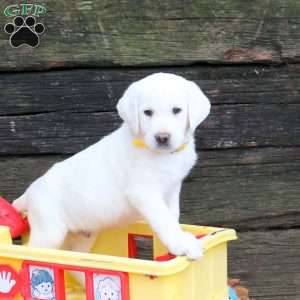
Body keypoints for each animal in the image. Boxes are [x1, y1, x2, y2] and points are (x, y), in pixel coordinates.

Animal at [12, 72, 211, 260]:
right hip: (49, 232)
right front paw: (182, 245)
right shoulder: (144, 193)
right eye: (147, 112)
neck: (162, 155)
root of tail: (30, 192)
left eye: (177, 110)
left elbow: (172, 215)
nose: (162, 137)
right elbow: (164, 220)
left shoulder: (172, 189)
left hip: (83, 235)